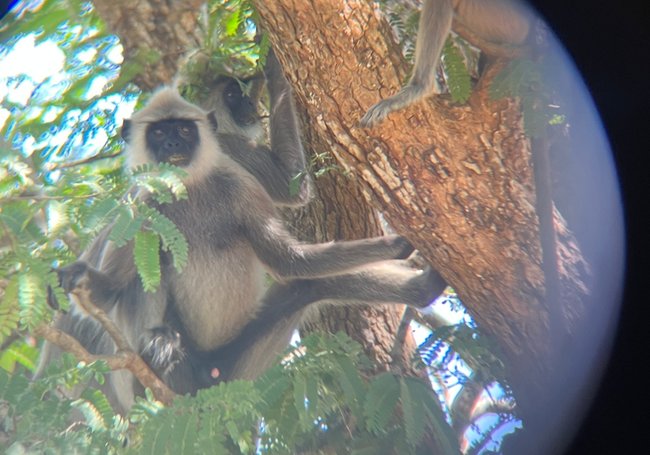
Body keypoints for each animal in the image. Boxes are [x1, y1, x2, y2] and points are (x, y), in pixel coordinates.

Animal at [36, 50, 446, 414]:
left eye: (182, 130)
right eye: (160, 133)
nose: (172, 144)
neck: (190, 187)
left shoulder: (237, 187)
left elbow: (289, 261)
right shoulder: (150, 199)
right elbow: (292, 189)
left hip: (236, 363)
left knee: (310, 285)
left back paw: (423, 289)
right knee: (149, 268)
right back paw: (158, 348)